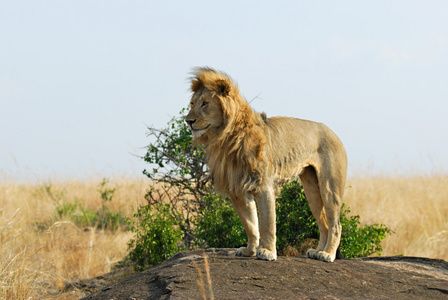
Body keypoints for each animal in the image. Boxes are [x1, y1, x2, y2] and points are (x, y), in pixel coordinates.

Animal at [185, 68, 346, 262]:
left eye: (205, 103)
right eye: (192, 103)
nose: (188, 121)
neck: (224, 137)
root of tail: (334, 133)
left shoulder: (263, 185)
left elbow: (267, 223)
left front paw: (267, 251)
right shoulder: (238, 189)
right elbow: (250, 224)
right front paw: (249, 250)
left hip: (330, 187)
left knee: (335, 224)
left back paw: (328, 254)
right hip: (311, 188)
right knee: (323, 223)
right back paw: (317, 252)